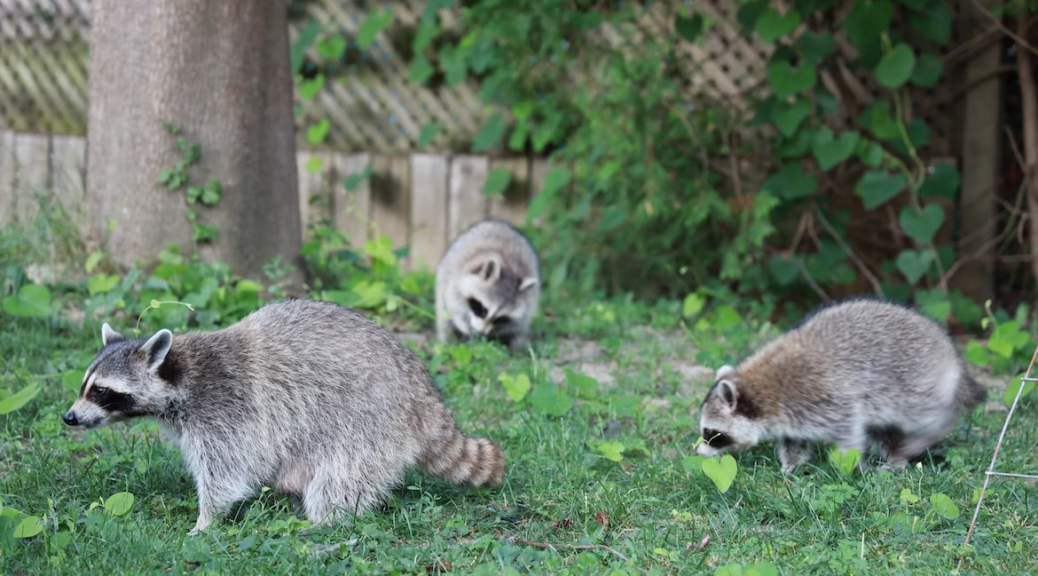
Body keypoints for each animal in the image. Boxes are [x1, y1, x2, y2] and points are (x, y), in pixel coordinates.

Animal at [60, 298, 506, 535]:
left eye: (101, 391)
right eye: (84, 385)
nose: (69, 418)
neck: (184, 371)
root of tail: (426, 395)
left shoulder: (228, 408)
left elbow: (226, 474)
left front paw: (205, 520)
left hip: (370, 420)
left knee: (342, 476)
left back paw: (324, 521)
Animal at [435, 218, 543, 348]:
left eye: (500, 319)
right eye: (483, 310)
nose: (481, 333)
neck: (509, 269)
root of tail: (499, 222)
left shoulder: (525, 308)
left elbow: (514, 326)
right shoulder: (455, 279)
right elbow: (454, 305)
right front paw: (464, 325)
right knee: (444, 320)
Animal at [693, 296, 984, 473]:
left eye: (710, 432)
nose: (698, 452)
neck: (762, 392)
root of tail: (950, 352)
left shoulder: (823, 400)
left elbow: (849, 433)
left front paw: (850, 465)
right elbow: (795, 442)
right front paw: (790, 465)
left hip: (911, 381)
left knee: (925, 415)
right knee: (884, 430)